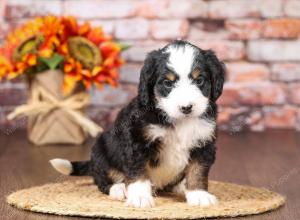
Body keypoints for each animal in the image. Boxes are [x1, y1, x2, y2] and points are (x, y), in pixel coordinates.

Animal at [49, 40, 225, 208]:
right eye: (168, 83)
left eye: (199, 80)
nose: (187, 108)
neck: (179, 120)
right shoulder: (137, 140)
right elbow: (138, 171)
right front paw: (140, 197)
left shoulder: (204, 143)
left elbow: (197, 171)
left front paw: (198, 195)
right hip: (101, 151)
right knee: (102, 179)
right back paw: (119, 188)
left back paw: (180, 187)